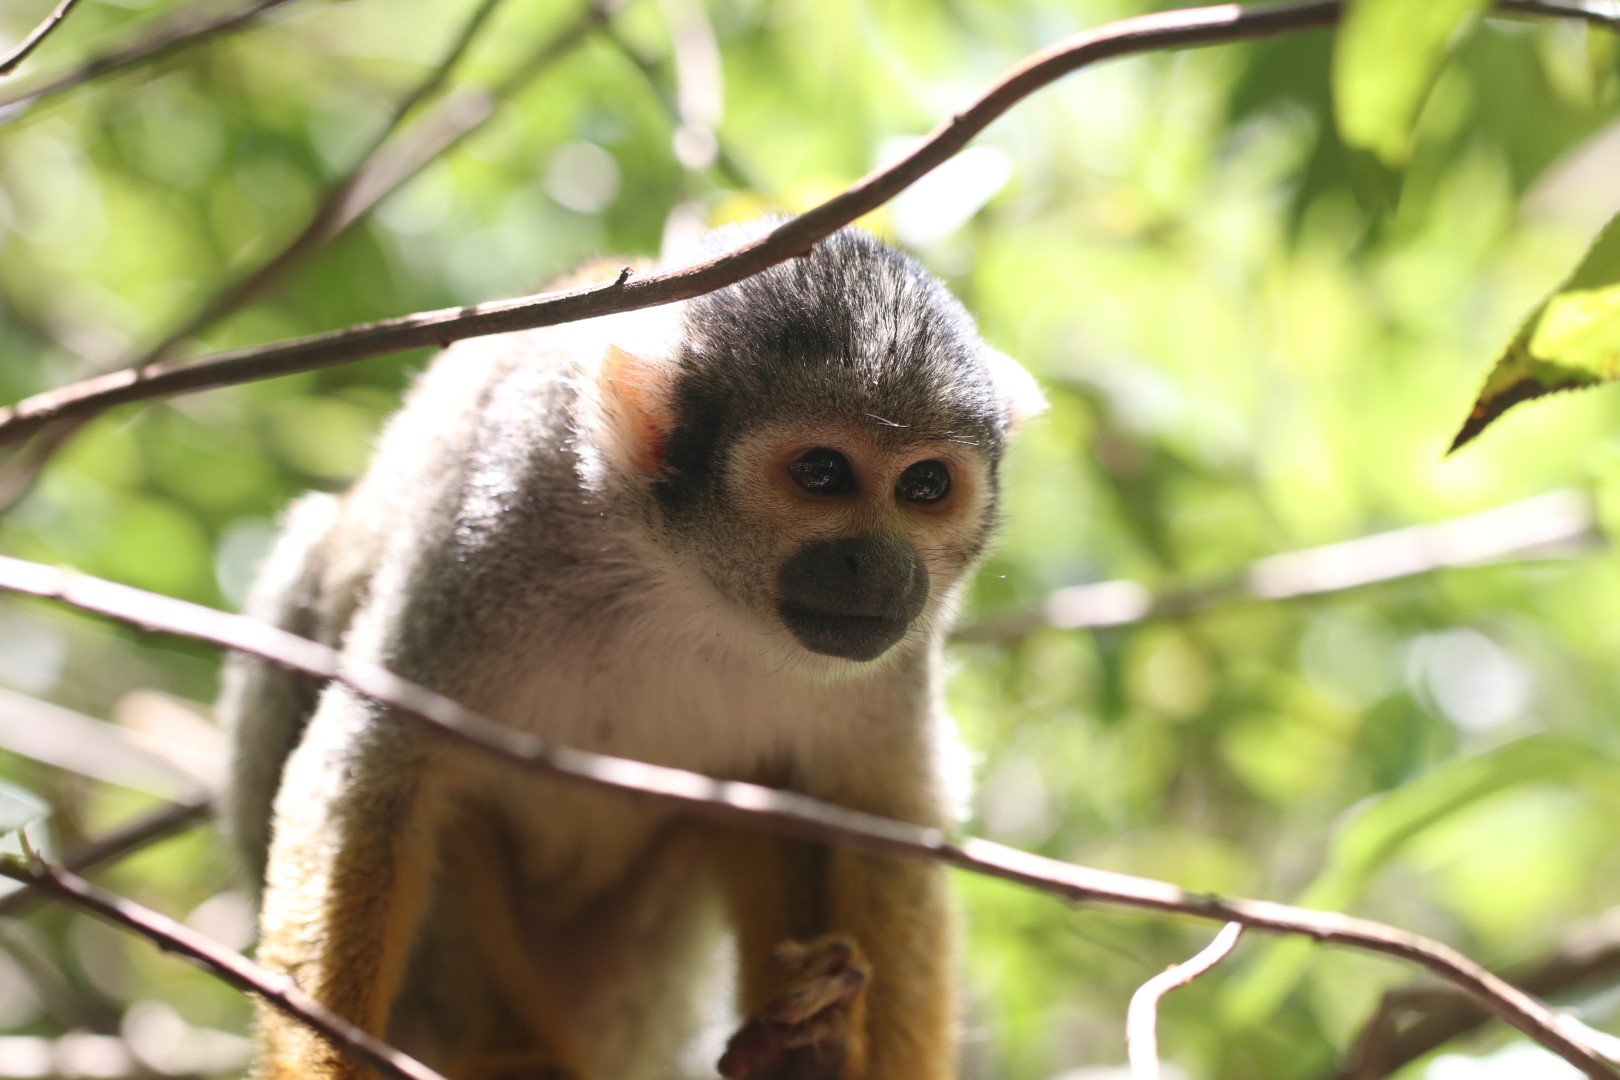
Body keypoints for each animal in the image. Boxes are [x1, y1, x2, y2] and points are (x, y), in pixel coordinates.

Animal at [217, 219, 1044, 1080]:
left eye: (925, 486)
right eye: (822, 473)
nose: (878, 568)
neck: (688, 585)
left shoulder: (904, 647)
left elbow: (881, 817)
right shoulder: (487, 521)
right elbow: (372, 777)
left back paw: (802, 1049)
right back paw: (508, 1051)